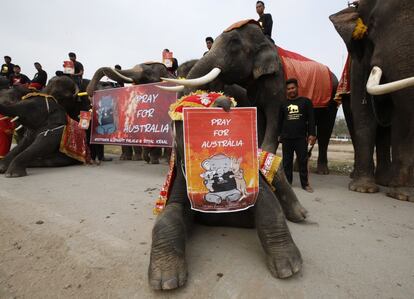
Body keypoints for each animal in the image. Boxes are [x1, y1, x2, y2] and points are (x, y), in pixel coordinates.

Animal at [149, 96, 308, 290]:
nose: (225, 103)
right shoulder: (181, 175)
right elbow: (171, 212)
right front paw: (167, 282)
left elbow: (266, 201)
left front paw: (289, 269)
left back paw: (300, 215)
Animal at [160, 20, 338, 173]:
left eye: (233, 45)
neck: (266, 42)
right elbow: (259, 118)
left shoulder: (277, 79)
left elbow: (274, 116)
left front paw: (264, 160)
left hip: (332, 99)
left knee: (325, 131)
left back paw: (322, 171)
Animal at [330, 1, 414, 202]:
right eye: (373, 23)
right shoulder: (359, 61)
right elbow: (363, 111)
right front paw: (363, 189)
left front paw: (403, 195)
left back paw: (386, 181)